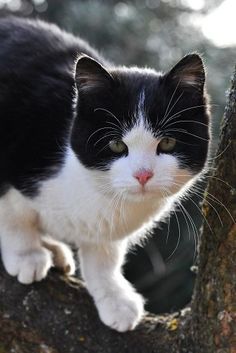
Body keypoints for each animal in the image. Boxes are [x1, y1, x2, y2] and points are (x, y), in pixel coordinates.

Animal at [0, 15, 210, 330]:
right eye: (116, 144)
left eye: (168, 143)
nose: (143, 175)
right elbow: (13, 214)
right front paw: (25, 253)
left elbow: (105, 256)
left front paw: (114, 297)